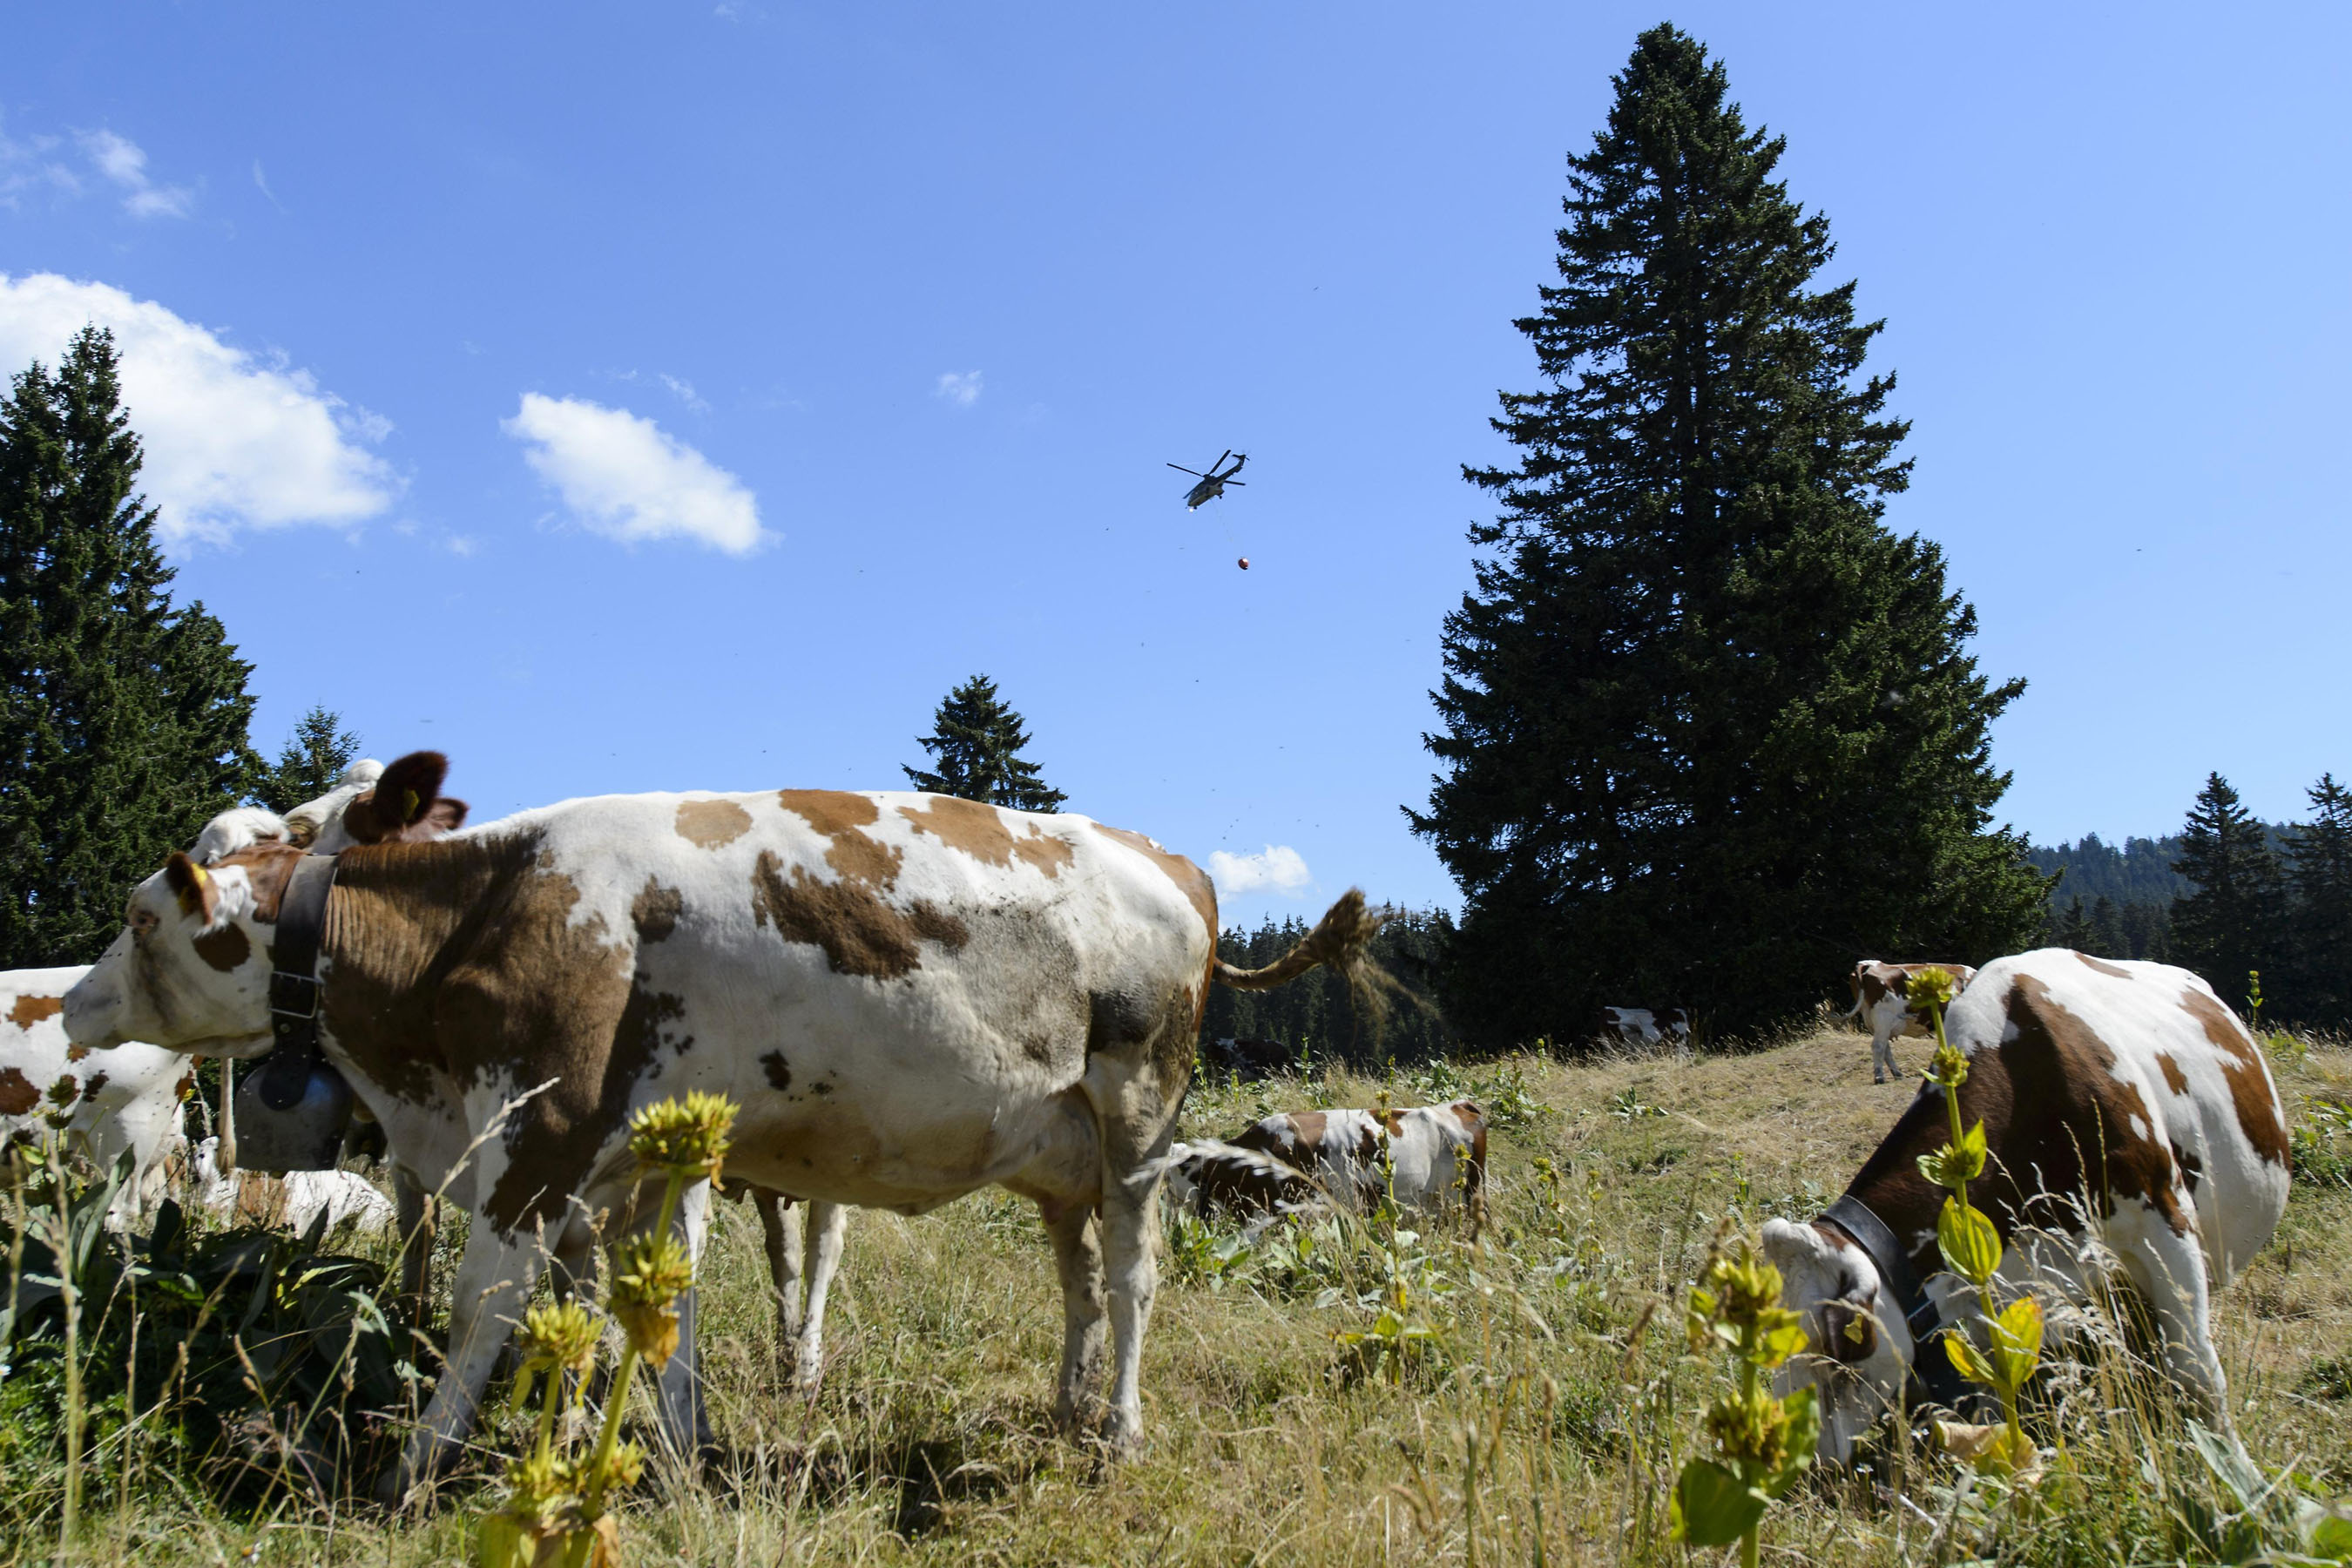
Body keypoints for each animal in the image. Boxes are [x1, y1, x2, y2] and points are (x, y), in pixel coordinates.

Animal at [64, 780, 1373, 1495]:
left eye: (142, 919)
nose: (73, 1004)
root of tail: (1175, 863)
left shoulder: (539, 1132)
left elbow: (486, 1309)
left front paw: (414, 1470)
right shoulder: (628, 1160)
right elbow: (646, 1304)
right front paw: (659, 1447)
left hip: (1140, 1120)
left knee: (1138, 1279)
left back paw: (1119, 1431)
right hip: (1063, 1153)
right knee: (1081, 1282)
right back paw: (1065, 1405)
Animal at [1843, 963, 1976, 1085]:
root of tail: (1868, 964)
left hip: (1874, 1021)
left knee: (1885, 1048)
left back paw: (1897, 1074)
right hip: (1883, 1017)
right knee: (1878, 1046)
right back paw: (1879, 1077)